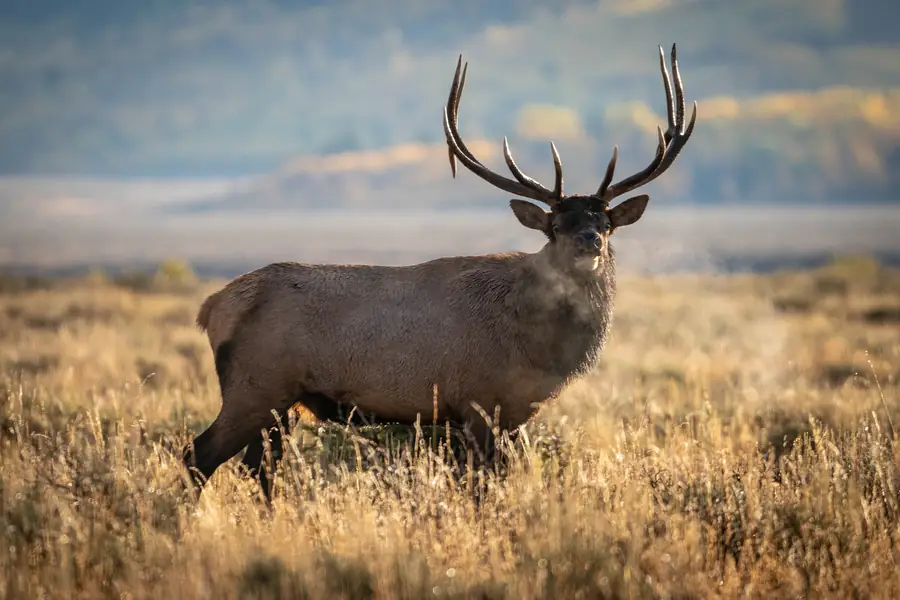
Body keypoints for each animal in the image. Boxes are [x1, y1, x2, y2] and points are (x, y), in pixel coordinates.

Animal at [183, 44, 697, 499]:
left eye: (606, 222)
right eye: (555, 226)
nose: (588, 241)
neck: (539, 350)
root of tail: (211, 308)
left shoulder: (505, 414)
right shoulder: (477, 401)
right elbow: (482, 486)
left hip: (278, 402)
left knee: (258, 466)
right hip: (256, 385)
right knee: (199, 454)